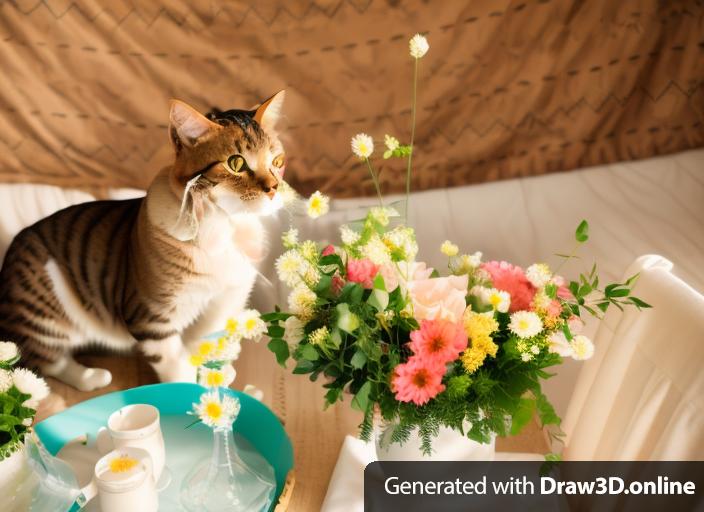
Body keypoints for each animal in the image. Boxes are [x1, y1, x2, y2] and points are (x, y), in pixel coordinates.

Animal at [0, 92, 288, 390]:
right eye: (236, 163)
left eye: (277, 161)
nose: (273, 188)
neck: (226, 225)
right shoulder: (152, 315)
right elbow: (175, 365)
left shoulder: (225, 301)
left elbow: (202, 345)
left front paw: (213, 377)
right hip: (43, 310)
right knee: (44, 361)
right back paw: (91, 377)